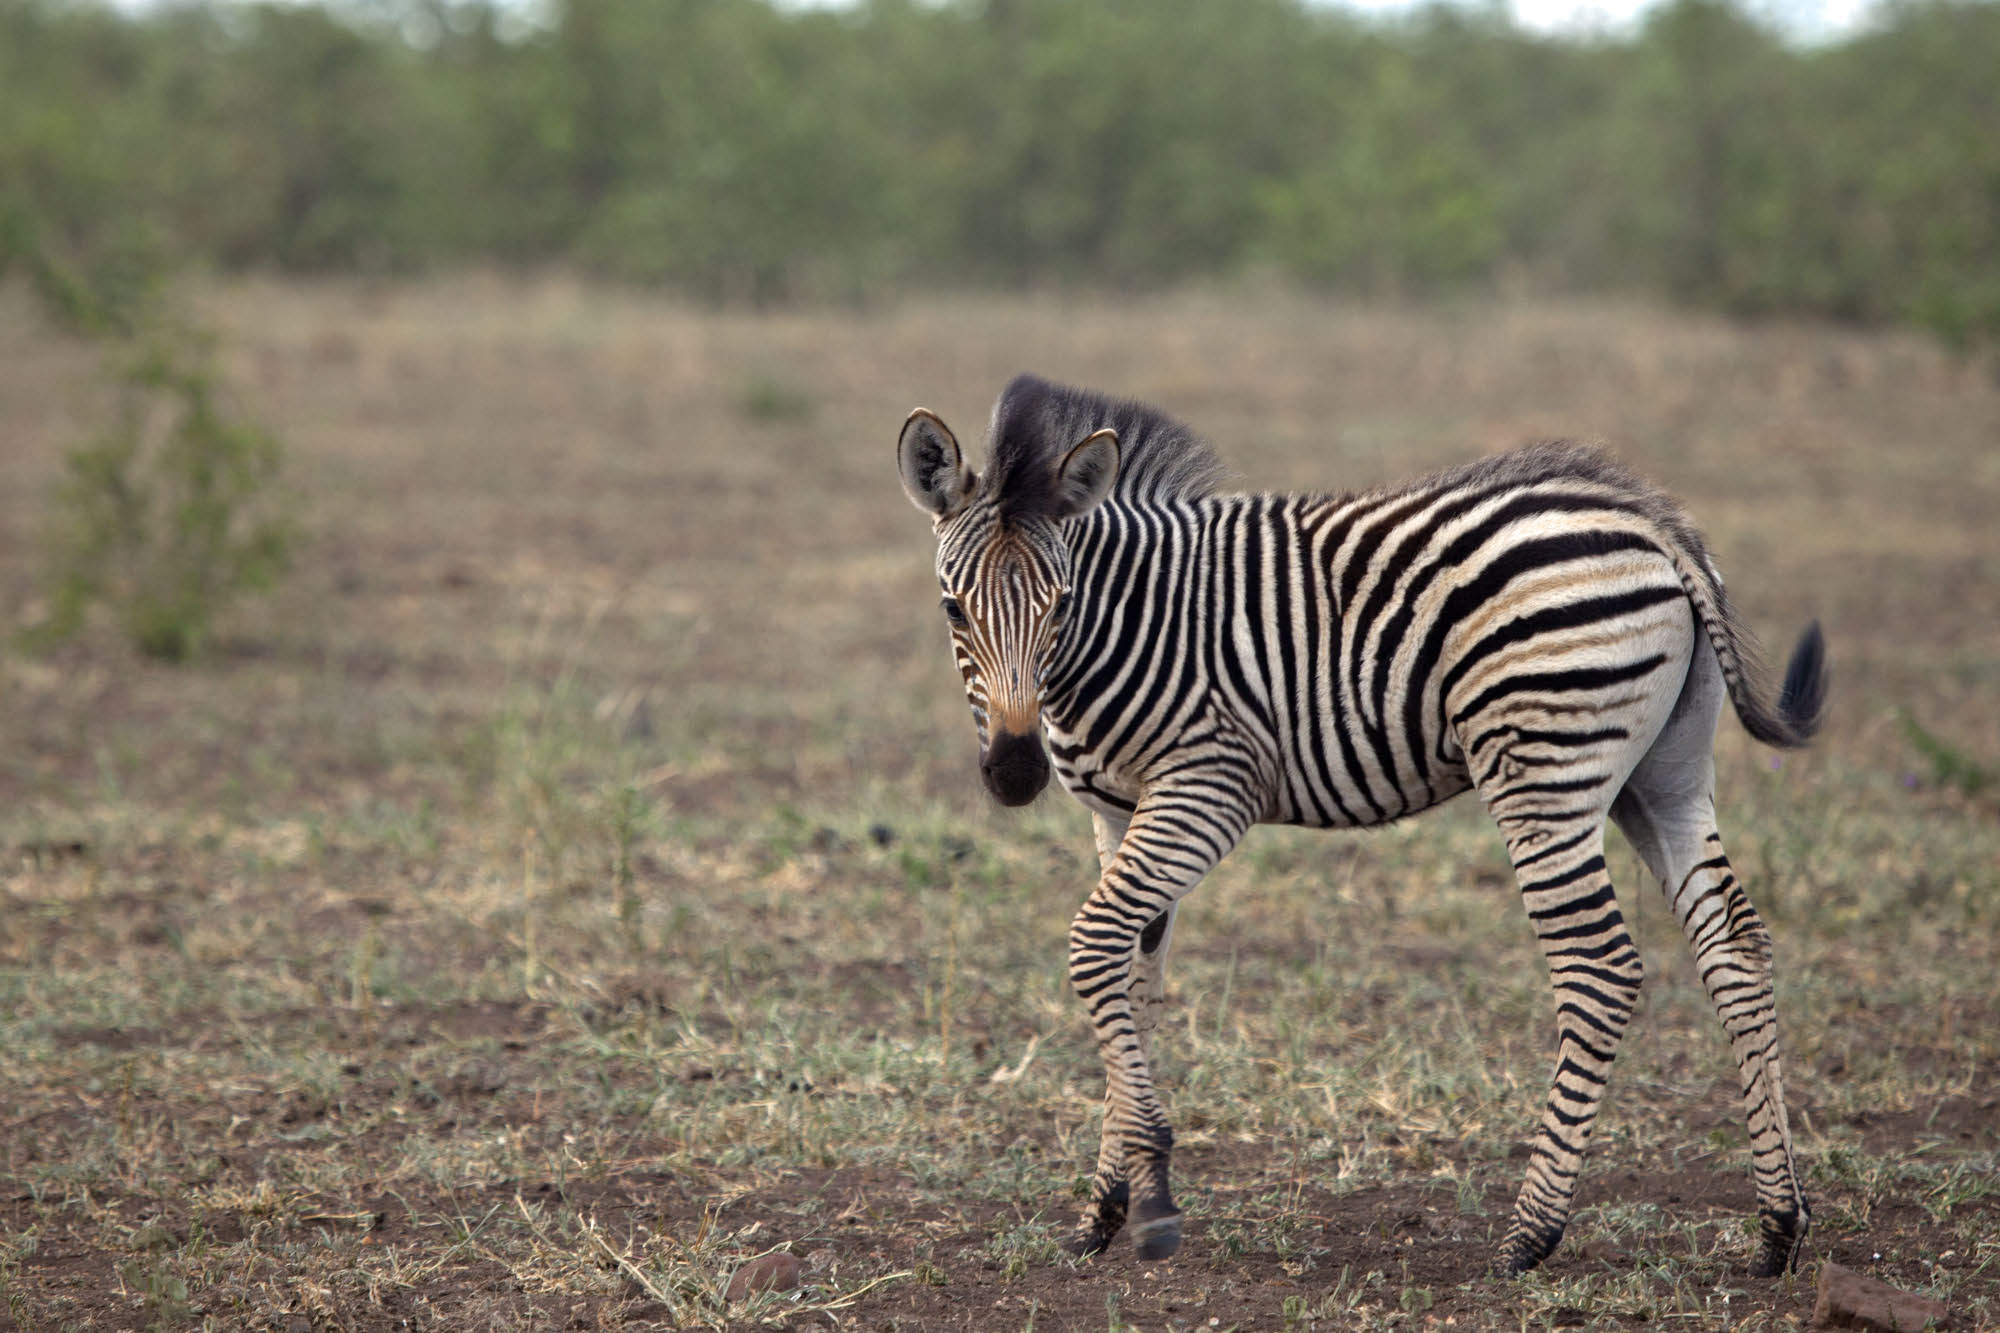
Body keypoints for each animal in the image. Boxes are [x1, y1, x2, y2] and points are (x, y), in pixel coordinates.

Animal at [895, 373, 1827, 1278]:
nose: (1015, 773)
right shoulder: (1117, 811)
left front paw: (1150, 1191)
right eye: (952, 610)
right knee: (1736, 945)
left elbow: (1093, 946)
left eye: (1059, 605)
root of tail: (1653, 523)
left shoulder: (1209, 786)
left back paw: (1530, 1234)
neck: (1124, 624)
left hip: (1546, 773)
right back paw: (1778, 1226)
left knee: (1599, 969)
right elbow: (1132, 979)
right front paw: (1108, 1208)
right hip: (1662, 776)